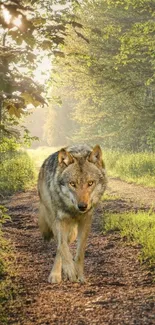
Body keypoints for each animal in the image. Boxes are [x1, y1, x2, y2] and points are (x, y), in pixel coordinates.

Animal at [38, 144, 107, 284]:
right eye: (72, 184)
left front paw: (79, 274)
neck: (74, 211)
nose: (82, 206)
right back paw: (55, 274)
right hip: (54, 220)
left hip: (72, 233)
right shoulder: (59, 220)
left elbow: (80, 252)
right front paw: (70, 270)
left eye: (90, 183)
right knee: (60, 245)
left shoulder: (86, 221)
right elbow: (63, 247)